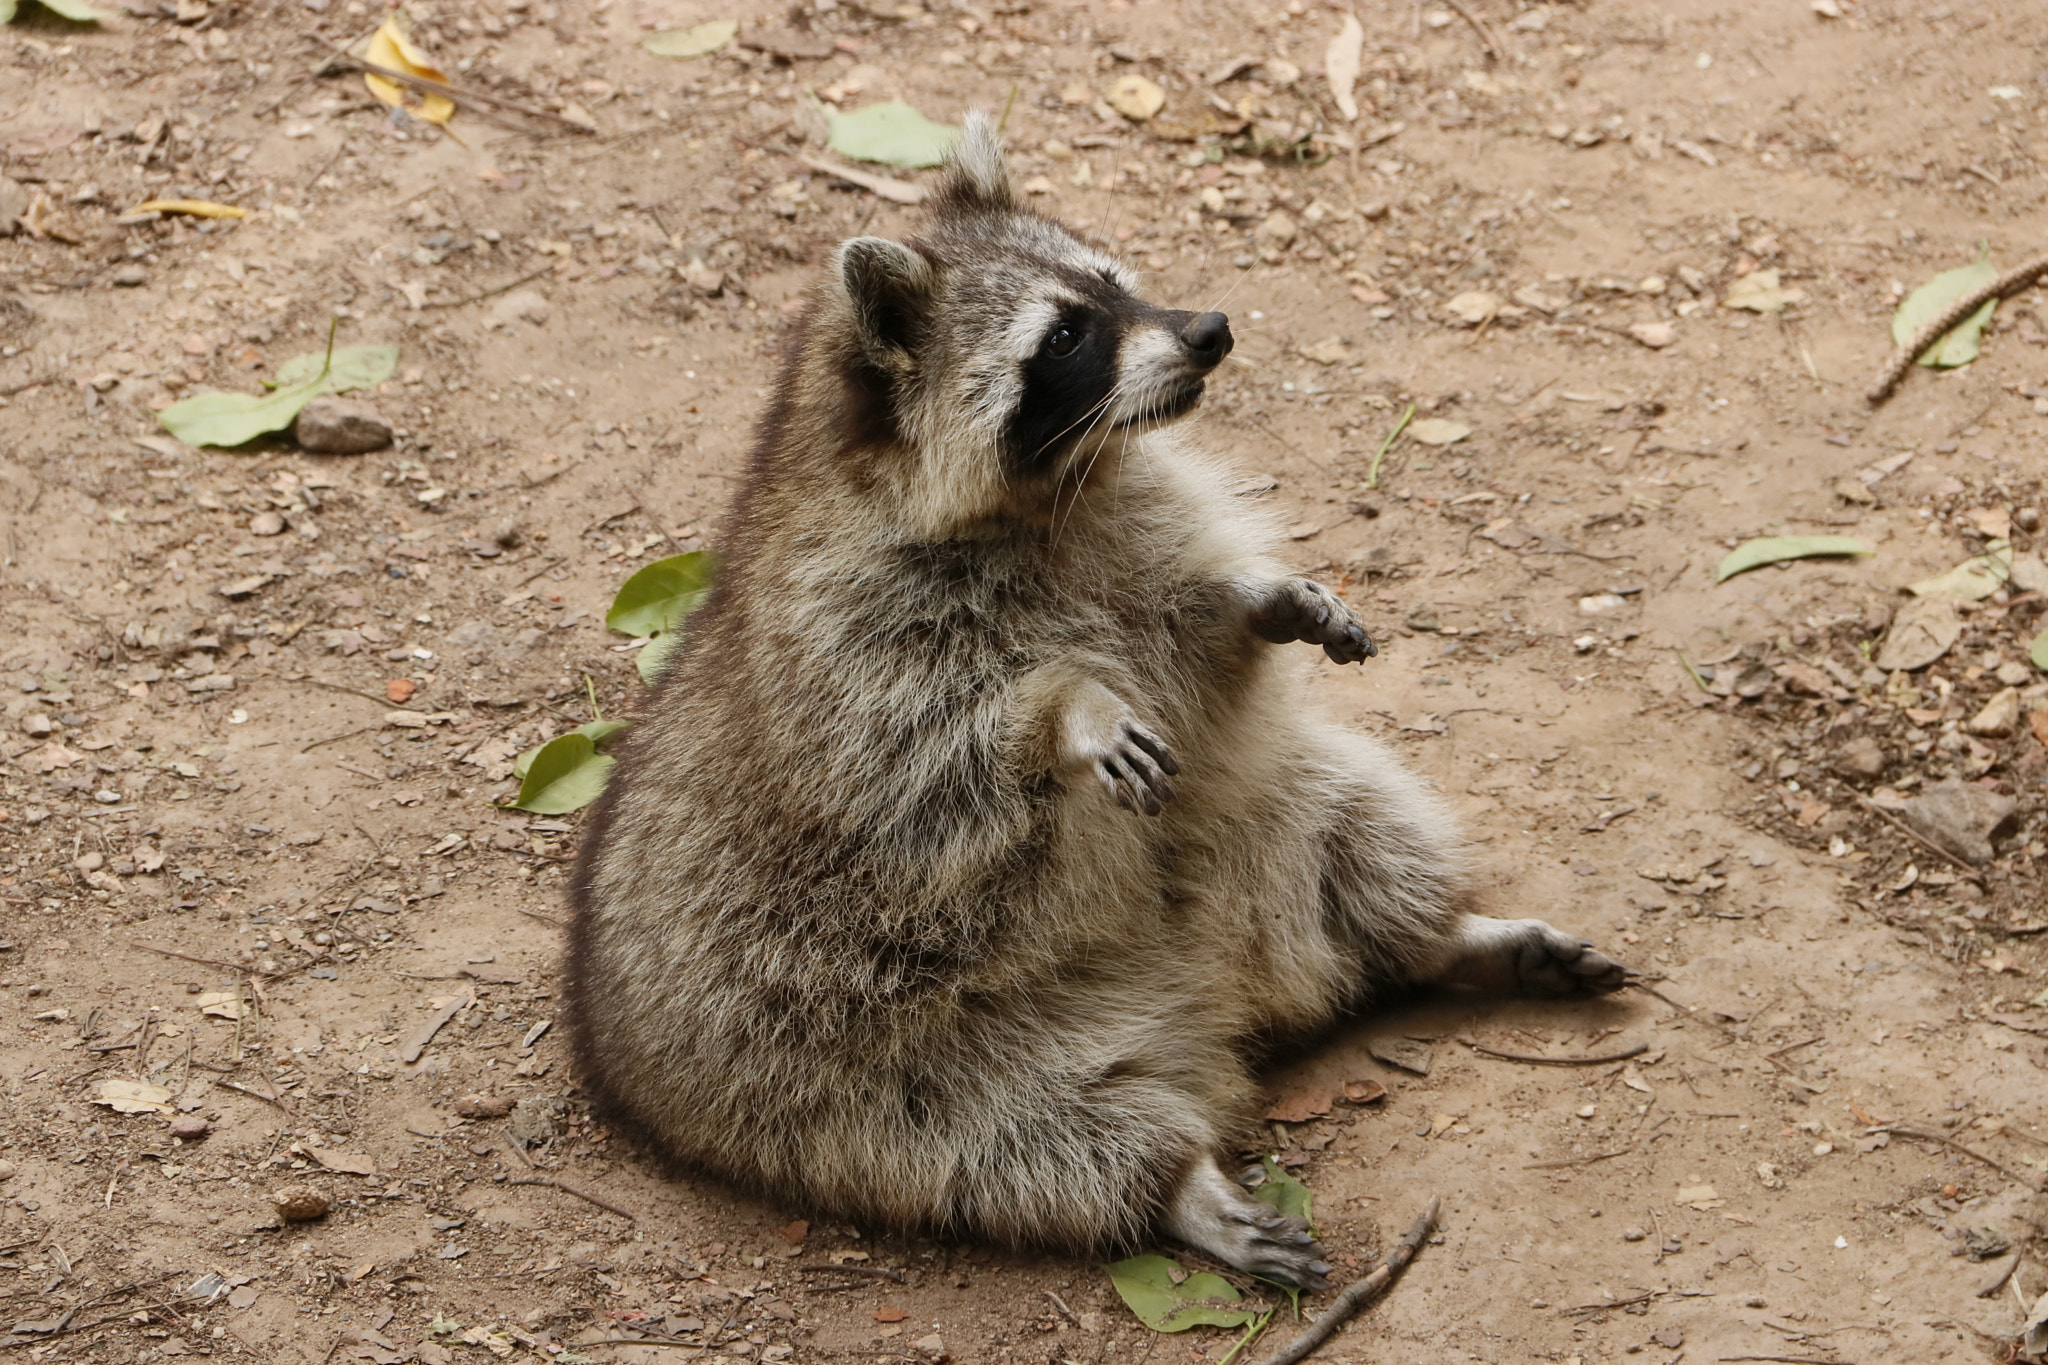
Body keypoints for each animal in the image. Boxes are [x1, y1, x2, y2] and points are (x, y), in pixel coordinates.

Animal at [567, 114, 1629, 1288]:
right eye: (1067, 336)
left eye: (1119, 286)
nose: (1209, 329)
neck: (1052, 495)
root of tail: (1237, 999)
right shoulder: (846, 643)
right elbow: (932, 766)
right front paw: (1064, 710)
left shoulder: (1136, 534)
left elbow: (1195, 642)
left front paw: (1260, 599)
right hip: (853, 1077)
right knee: (1012, 1130)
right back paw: (1177, 1180)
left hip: (1281, 815)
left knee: (1355, 823)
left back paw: (1432, 936)